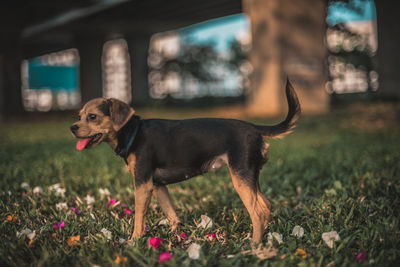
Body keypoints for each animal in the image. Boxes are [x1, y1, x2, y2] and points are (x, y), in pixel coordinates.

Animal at [69, 79, 300, 245]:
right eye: (79, 116)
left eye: (92, 117)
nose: (72, 127)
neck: (133, 132)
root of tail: (254, 128)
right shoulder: (157, 185)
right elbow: (172, 214)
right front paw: (174, 236)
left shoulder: (142, 184)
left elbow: (139, 217)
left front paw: (134, 241)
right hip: (250, 177)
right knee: (266, 206)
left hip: (240, 177)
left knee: (258, 212)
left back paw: (254, 245)